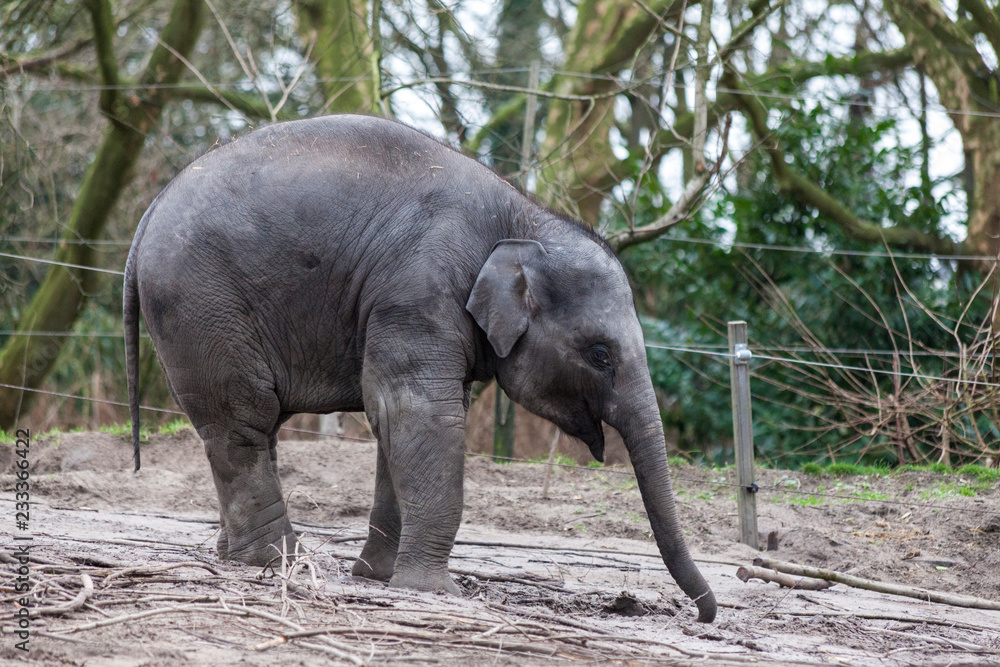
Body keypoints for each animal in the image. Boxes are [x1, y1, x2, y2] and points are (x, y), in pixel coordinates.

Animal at [123, 114, 717, 623]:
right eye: (600, 354)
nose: (703, 614)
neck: (520, 216)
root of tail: (148, 213)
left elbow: (398, 421)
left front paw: (378, 577)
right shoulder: (417, 291)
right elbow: (422, 413)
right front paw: (436, 591)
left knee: (251, 427)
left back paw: (235, 555)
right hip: (203, 304)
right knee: (243, 420)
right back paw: (277, 561)